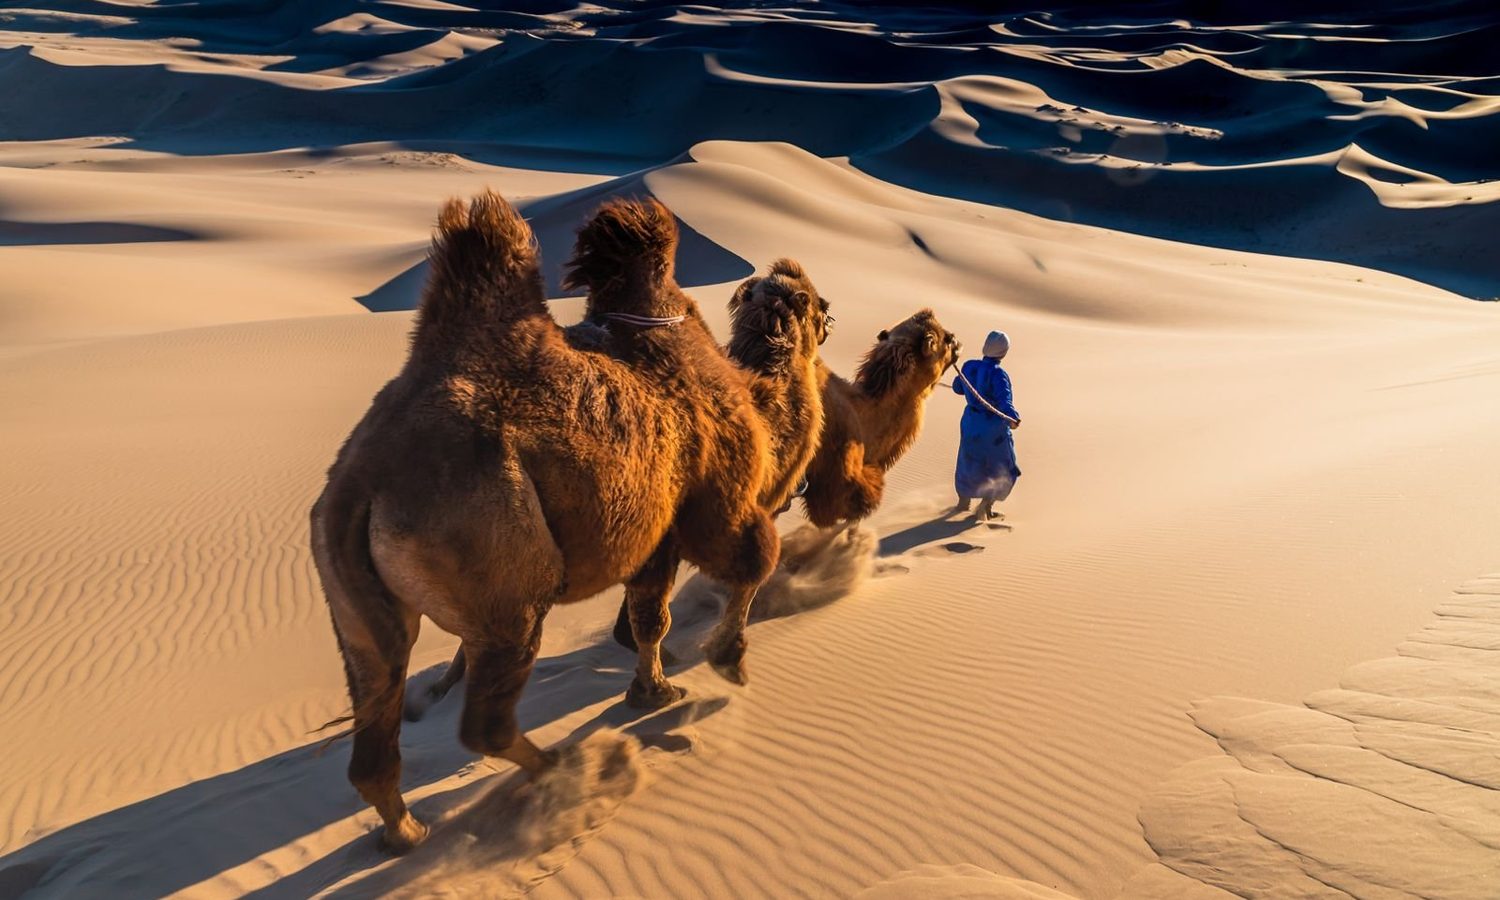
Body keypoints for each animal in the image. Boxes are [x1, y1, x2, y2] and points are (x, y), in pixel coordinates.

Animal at [309, 192, 825, 853]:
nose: (825, 313)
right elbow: (750, 562)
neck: (755, 401)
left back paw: (407, 832)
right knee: (486, 720)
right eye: (816, 305)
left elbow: (646, 621)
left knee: (376, 726)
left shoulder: (655, 537)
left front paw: (652, 686)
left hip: (356, 608)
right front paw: (719, 665)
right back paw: (567, 771)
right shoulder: (718, 501)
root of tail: (361, 485)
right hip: (503, 578)